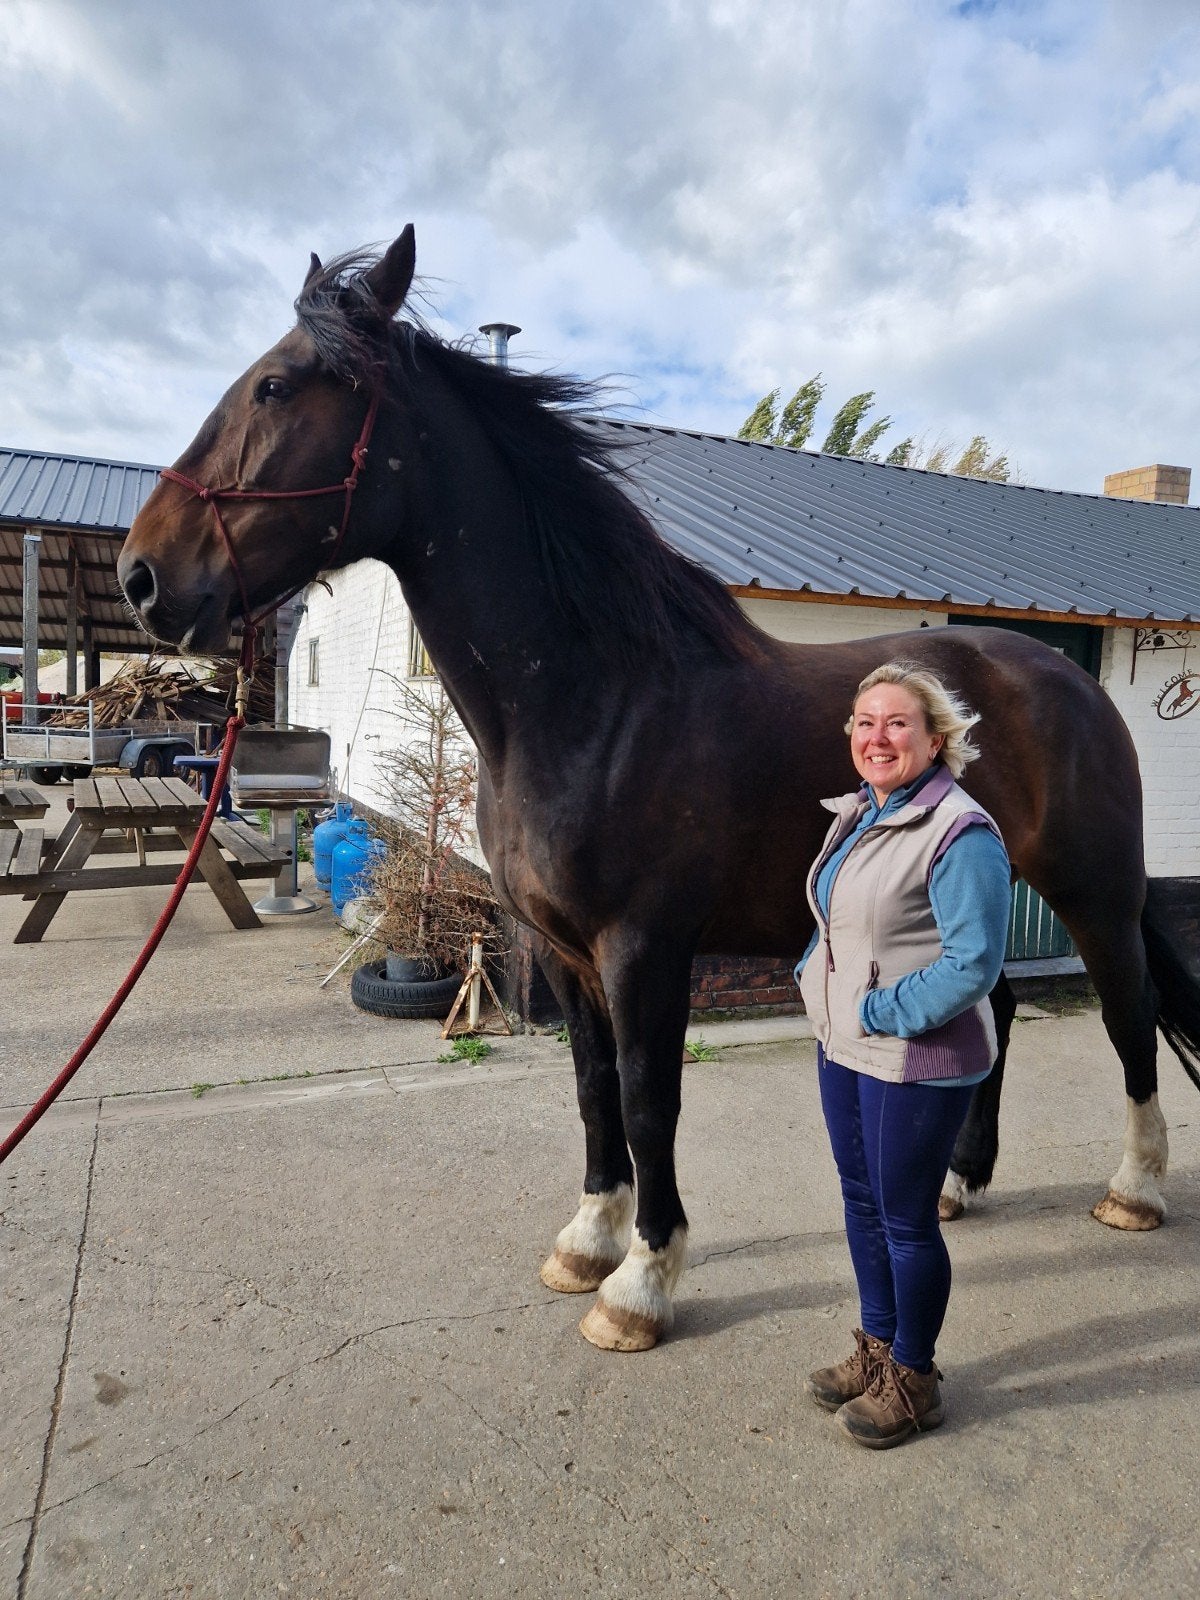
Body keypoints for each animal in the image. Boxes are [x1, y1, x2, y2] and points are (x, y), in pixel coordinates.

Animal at [119, 227, 1200, 1352]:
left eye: (277, 386)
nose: (142, 576)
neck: (594, 698)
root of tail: (1066, 677)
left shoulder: (643, 948)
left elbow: (647, 1101)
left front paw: (641, 1282)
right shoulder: (560, 950)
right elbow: (595, 1092)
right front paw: (588, 1241)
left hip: (1092, 894)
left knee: (1129, 1016)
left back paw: (1133, 1189)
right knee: (997, 1009)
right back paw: (956, 1181)